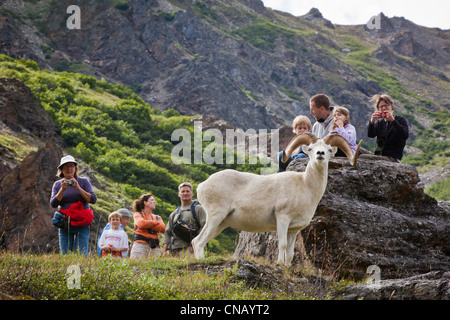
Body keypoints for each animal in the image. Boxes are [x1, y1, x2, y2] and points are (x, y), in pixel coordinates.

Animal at [192, 132, 362, 264]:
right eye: (311, 149)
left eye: (328, 149)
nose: (320, 154)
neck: (305, 187)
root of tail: (202, 186)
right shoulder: (283, 218)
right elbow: (283, 245)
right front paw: (279, 264)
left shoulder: (294, 229)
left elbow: (291, 253)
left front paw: (287, 267)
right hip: (216, 216)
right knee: (199, 241)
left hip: (221, 223)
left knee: (198, 241)